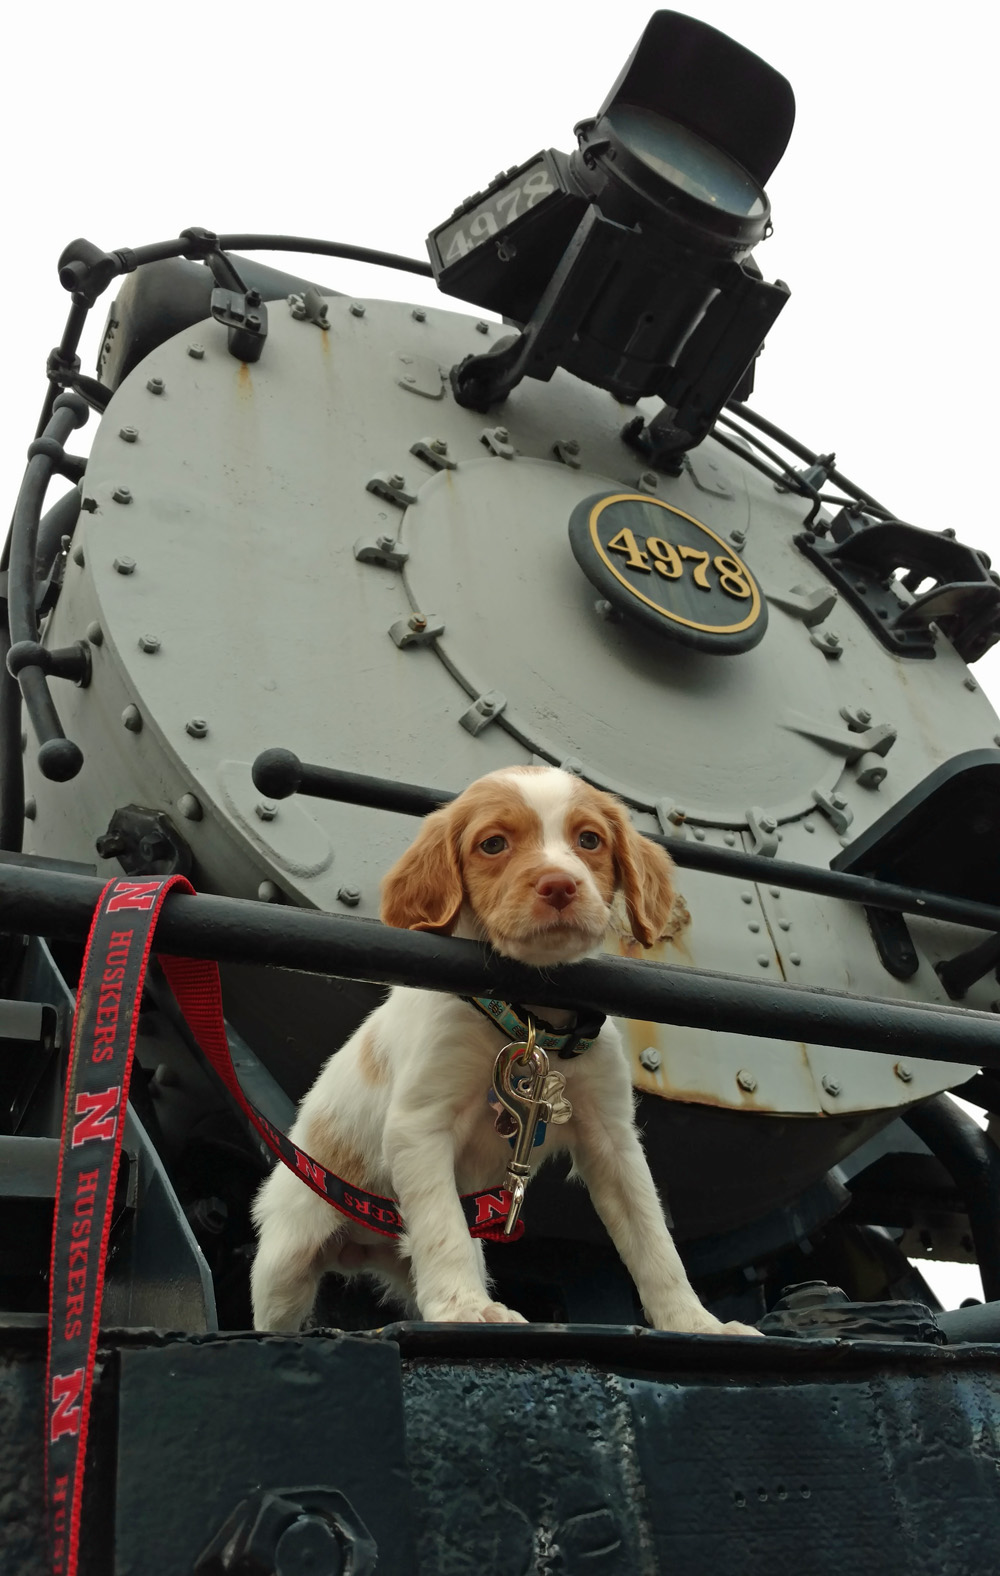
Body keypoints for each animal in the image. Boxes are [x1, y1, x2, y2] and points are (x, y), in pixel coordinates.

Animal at [250, 769, 759, 1336]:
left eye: (590, 840)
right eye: (493, 844)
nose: (559, 884)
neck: (531, 1019)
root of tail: (362, 1245)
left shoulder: (613, 1140)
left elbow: (654, 1243)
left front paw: (695, 1324)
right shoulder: (419, 1124)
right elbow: (441, 1226)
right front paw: (464, 1309)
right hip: (286, 1259)